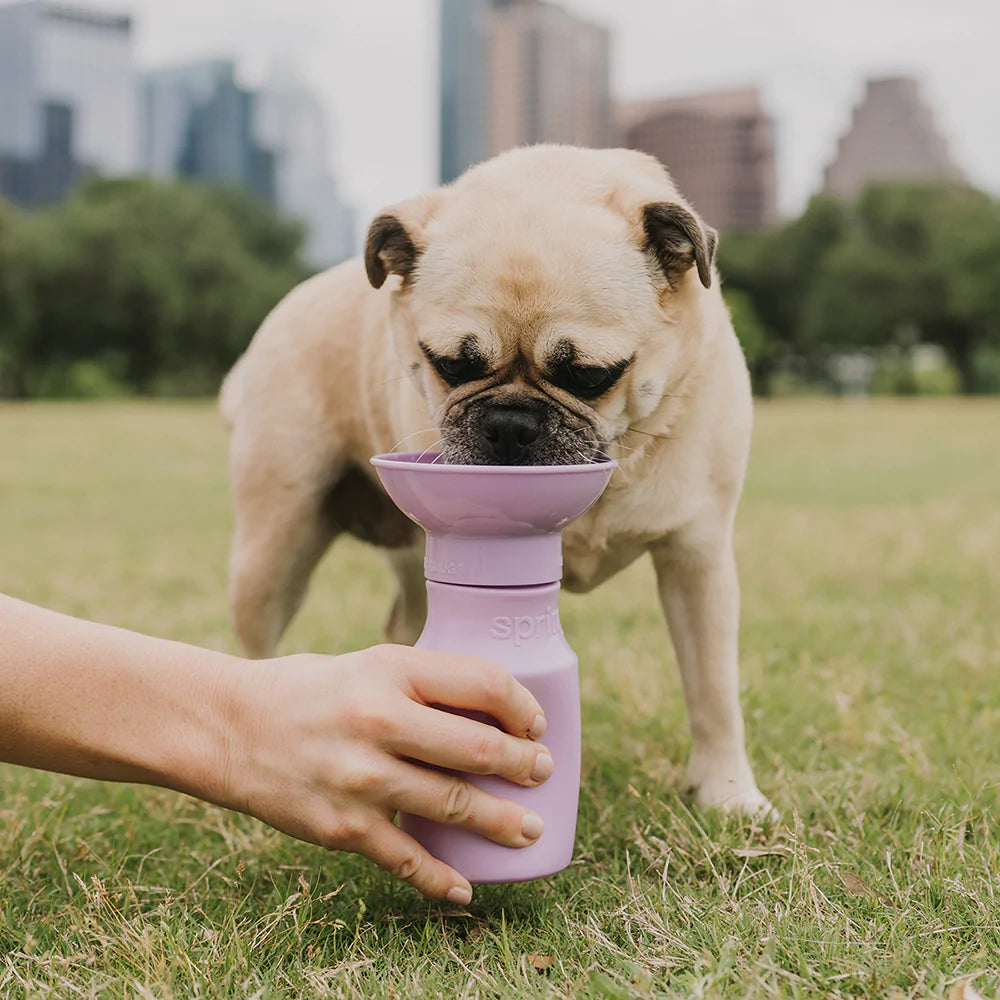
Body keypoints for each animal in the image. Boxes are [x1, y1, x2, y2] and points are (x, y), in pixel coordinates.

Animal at [221, 148, 772, 820]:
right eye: (451, 366)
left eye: (590, 377)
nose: (510, 423)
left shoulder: (697, 557)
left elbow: (713, 689)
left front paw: (728, 794)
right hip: (273, 550)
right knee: (255, 647)